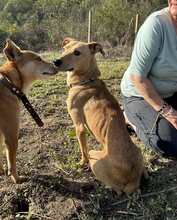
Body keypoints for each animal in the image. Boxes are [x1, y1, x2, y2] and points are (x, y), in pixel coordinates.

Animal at [0, 40, 57, 184]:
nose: (56, 63)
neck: (9, 83)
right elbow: (12, 162)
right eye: (38, 59)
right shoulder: (11, 134)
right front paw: (16, 179)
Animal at [54, 38, 147, 195]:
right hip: (139, 152)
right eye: (64, 48)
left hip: (94, 157)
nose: (56, 61)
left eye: (77, 53)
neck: (86, 80)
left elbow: (83, 150)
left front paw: (81, 162)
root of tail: (132, 181)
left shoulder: (79, 126)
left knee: (116, 189)